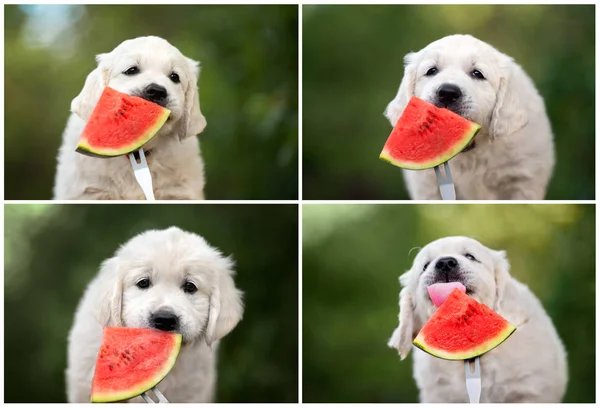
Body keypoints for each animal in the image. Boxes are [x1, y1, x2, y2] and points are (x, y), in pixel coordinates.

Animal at [54, 37, 209, 200]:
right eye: (131, 70)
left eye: (175, 77)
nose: (157, 91)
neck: (138, 153)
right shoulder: (88, 191)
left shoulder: (179, 191)